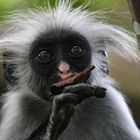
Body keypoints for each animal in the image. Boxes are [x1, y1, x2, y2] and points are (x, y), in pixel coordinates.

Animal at [0, 1, 139, 140]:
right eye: (44, 55)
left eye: (76, 50)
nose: (64, 69)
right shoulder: (19, 113)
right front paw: (57, 118)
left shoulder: (109, 103)